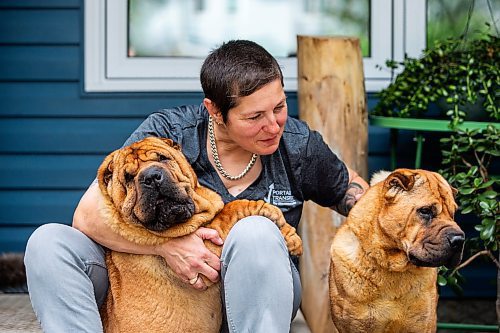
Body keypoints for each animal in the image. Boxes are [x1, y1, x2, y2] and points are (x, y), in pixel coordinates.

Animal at [96, 136, 302, 330]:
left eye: (162, 158)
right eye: (128, 177)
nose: (152, 177)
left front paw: (289, 234)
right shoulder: (205, 250)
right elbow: (230, 209)